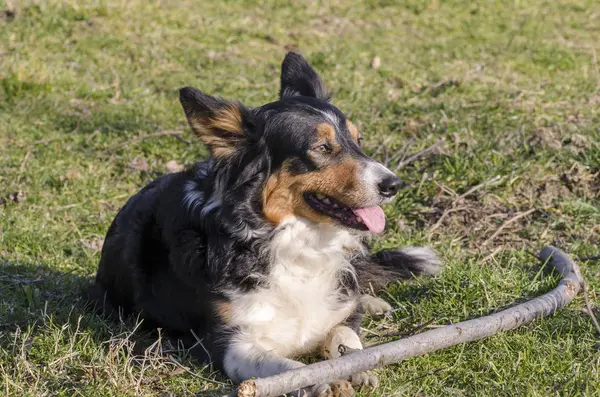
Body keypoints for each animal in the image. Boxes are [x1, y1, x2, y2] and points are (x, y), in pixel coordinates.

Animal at [89, 53, 440, 396]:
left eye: (358, 140)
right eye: (322, 148)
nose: (394, 185)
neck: (295, 243)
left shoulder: (337, 311)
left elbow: (345, 334)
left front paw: (358, 364)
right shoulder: (232, 345)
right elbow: (291, 369)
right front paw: (322, 380)